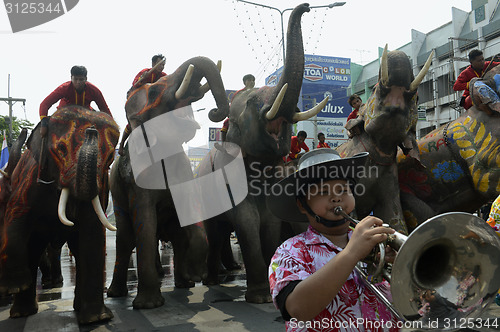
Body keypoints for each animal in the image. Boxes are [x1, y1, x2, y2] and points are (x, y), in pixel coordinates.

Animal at [0, 106, 118, 324]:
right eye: (61, 149)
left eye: (109, 160)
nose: (91, 131)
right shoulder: (29, 181)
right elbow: (17, 215)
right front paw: (12, 286)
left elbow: (92, 231)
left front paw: (97, 319)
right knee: (34, 250)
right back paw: (22, 312)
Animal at [108, 56, 229, 308]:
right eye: (154, 92)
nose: (215, 112)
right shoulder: (137, 179)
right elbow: (145, 221)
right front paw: (149, 305)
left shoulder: (183, 172)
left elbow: (191, 212)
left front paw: (197, 274)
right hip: (116, 191)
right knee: (125, 237)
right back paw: (115, 294)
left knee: (176, 236)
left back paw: (185, 284)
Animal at [197, 3, 330, 304]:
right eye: (253, 103)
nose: (305, 6)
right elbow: (247, 220)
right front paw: (258, 297)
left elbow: (270, 220)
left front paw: (269, 293)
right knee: (214, 231)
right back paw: (211, 281)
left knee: (222, 231)